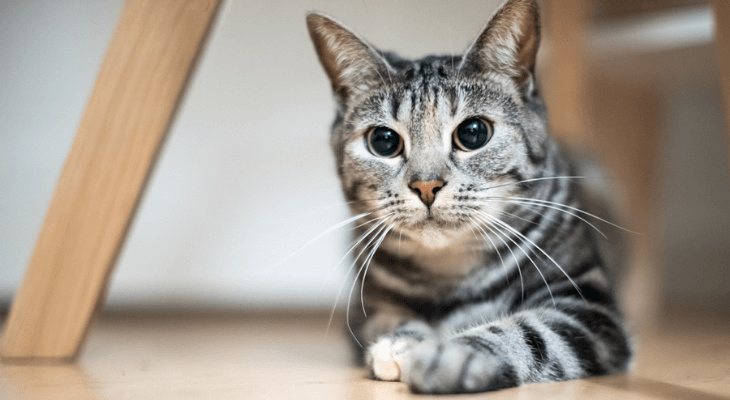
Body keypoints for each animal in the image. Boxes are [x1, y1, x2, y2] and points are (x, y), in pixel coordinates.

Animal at [304, 0, 628, 394]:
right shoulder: (366, 308)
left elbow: (531, 332)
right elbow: (389, 318)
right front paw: (403, 342)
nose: (426, 185)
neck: (450, 277)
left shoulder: (590, 307)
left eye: (473, 133)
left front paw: (454, 355)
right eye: (383, 141)